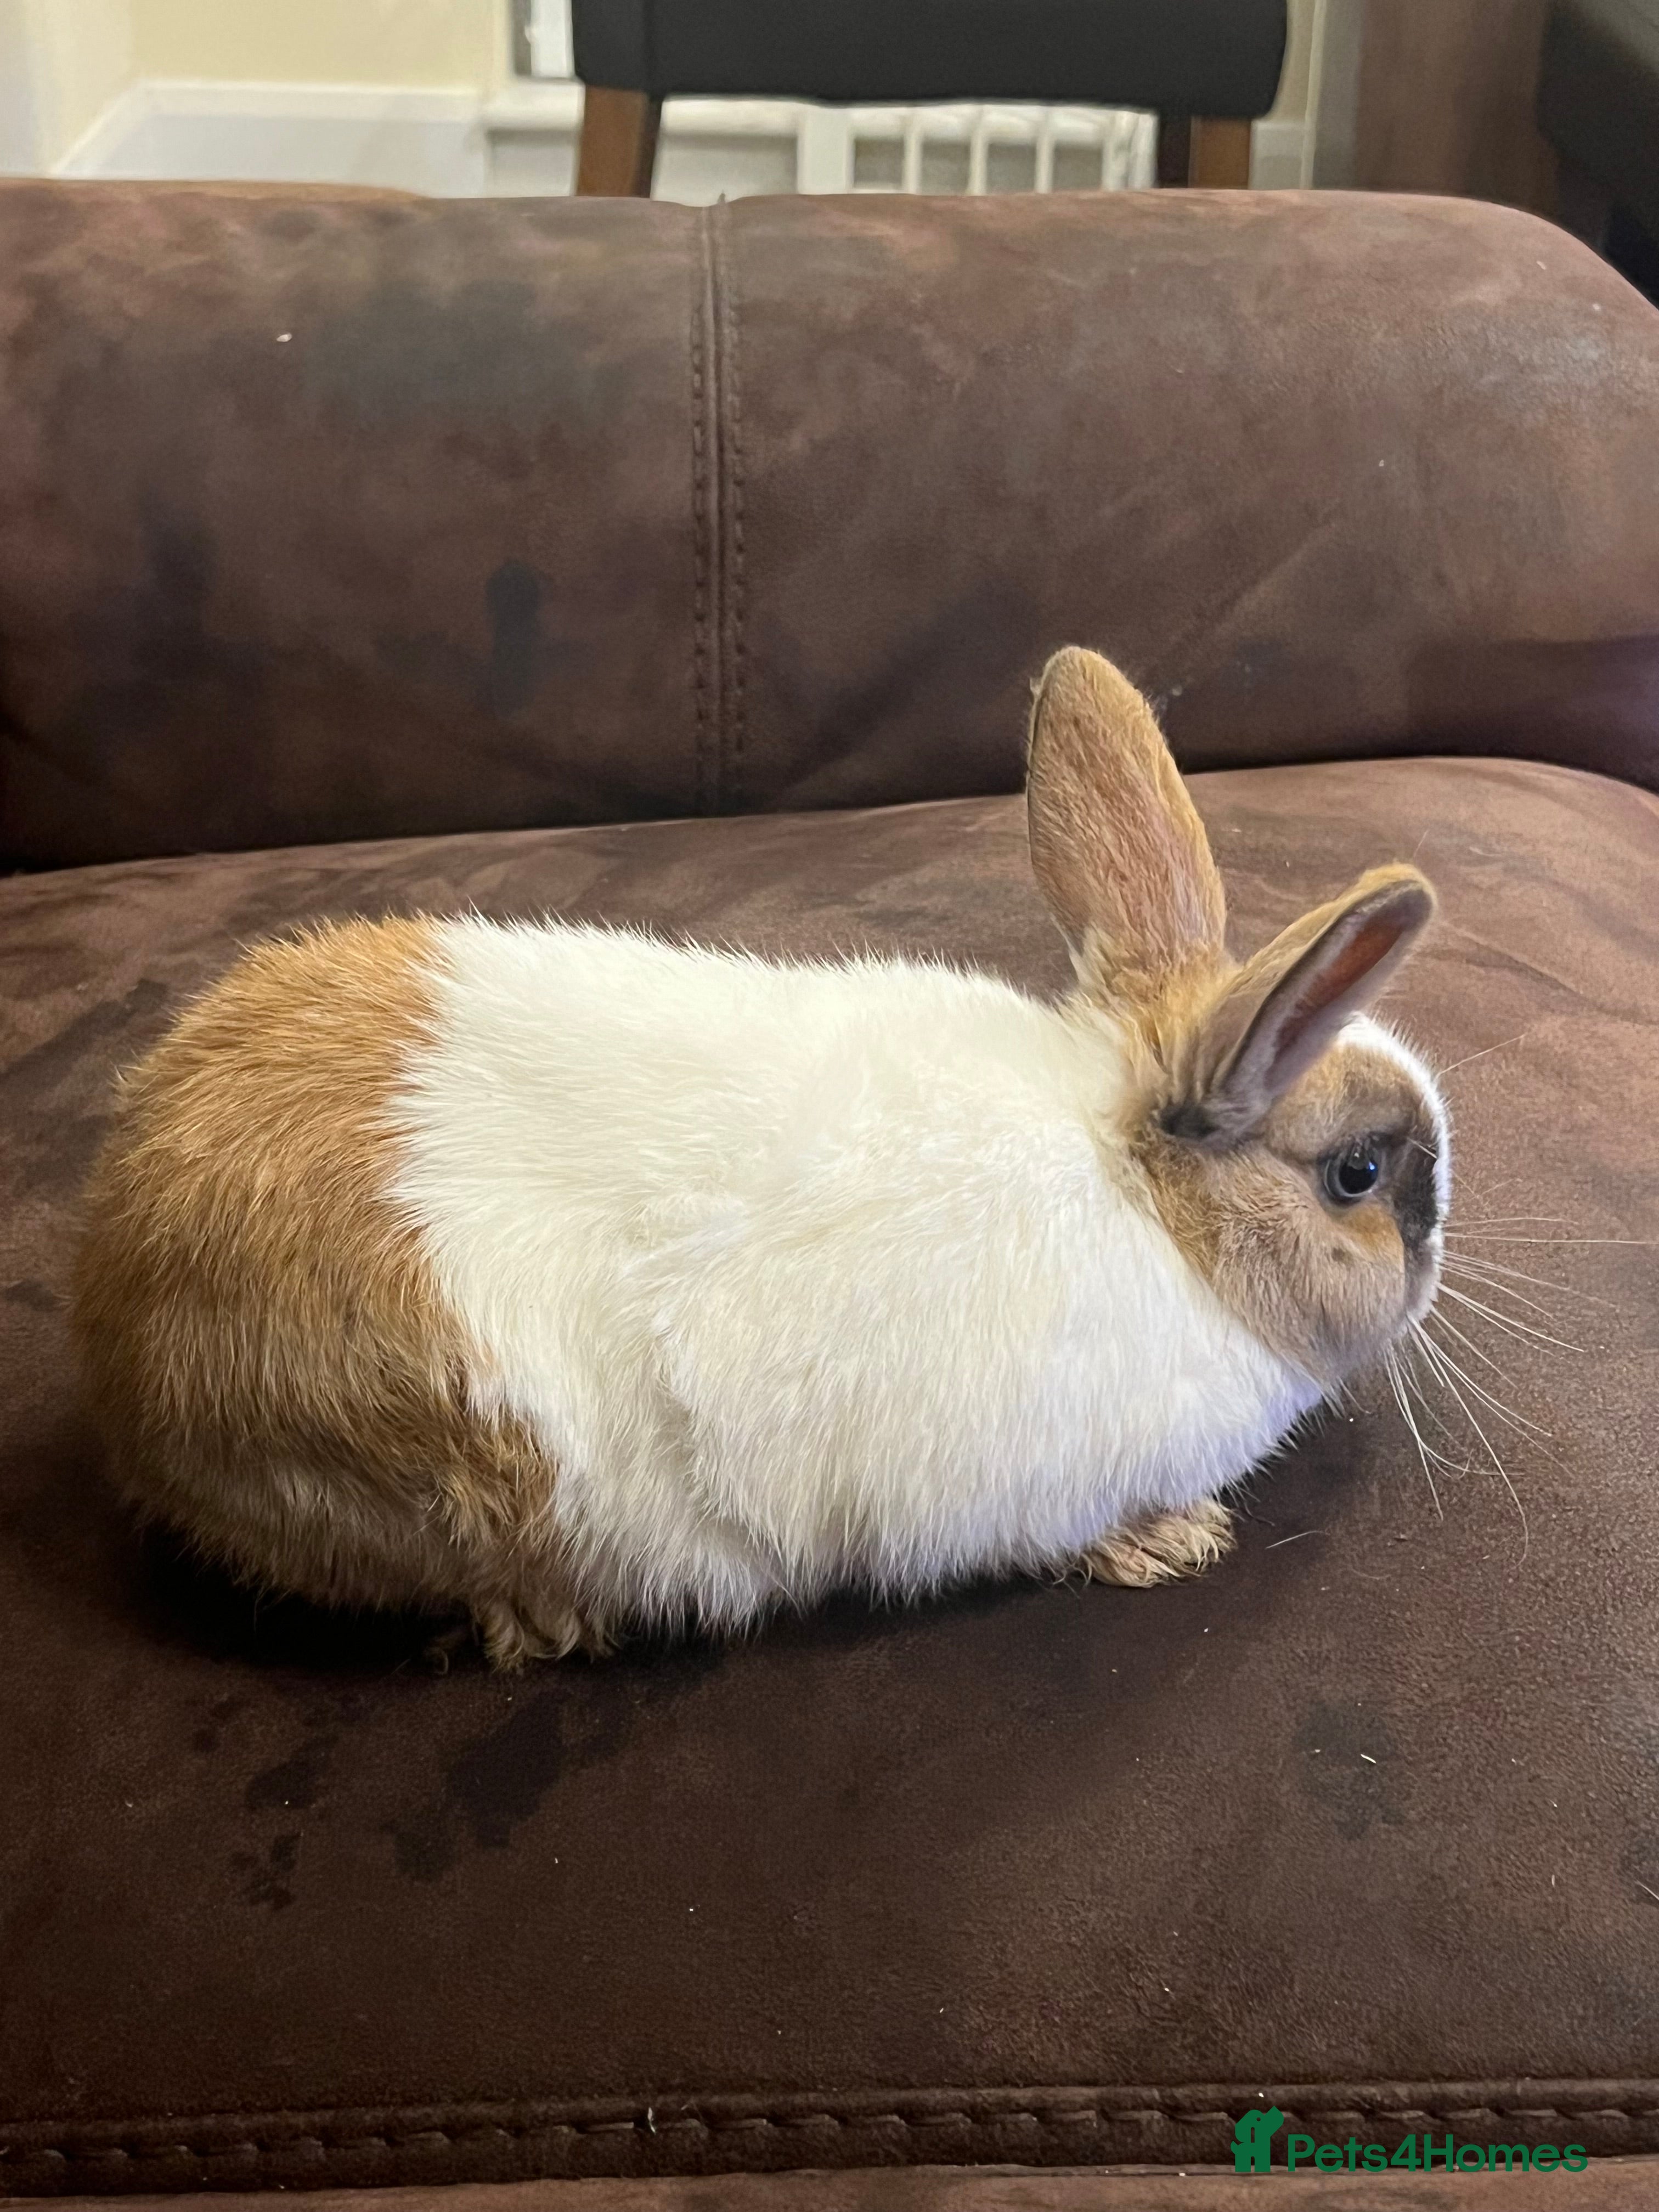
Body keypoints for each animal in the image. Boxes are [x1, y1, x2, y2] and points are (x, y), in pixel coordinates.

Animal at [73, 648, 1448, 1667]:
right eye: (1360, 1176)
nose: (1441, 1229)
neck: (1155, 1205)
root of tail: (114, 1295)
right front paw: (1168, 1544)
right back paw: (550, 1621)